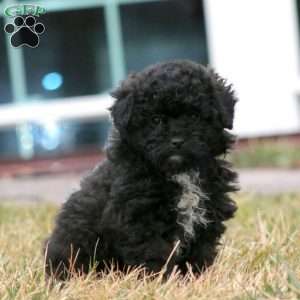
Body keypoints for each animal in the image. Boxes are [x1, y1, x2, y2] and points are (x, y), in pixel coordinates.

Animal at [43, 60, 238, 278]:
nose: (177, 141)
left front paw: (196, 278)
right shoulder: (140, 218)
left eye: (195, 116)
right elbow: (154, 253)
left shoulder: (208, 214)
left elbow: (200, 252)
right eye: (155, 120)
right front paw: (160, 280)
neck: (179, 172)